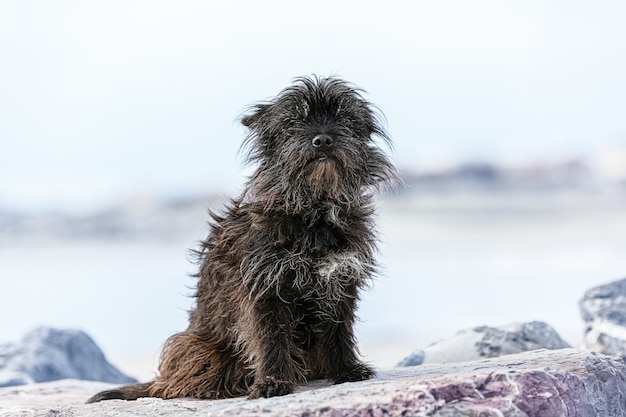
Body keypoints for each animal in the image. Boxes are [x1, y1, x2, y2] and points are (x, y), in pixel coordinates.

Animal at [88, 75, 394, 400]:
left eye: (344, 118)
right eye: (294, 122)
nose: (322, 139)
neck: (313, 209)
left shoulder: (340, 281)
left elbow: (338, 331)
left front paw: (345, 370)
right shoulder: (264, 288)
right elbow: (270, 337)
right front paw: (272, 382)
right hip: (197, 347)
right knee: (182, 382)